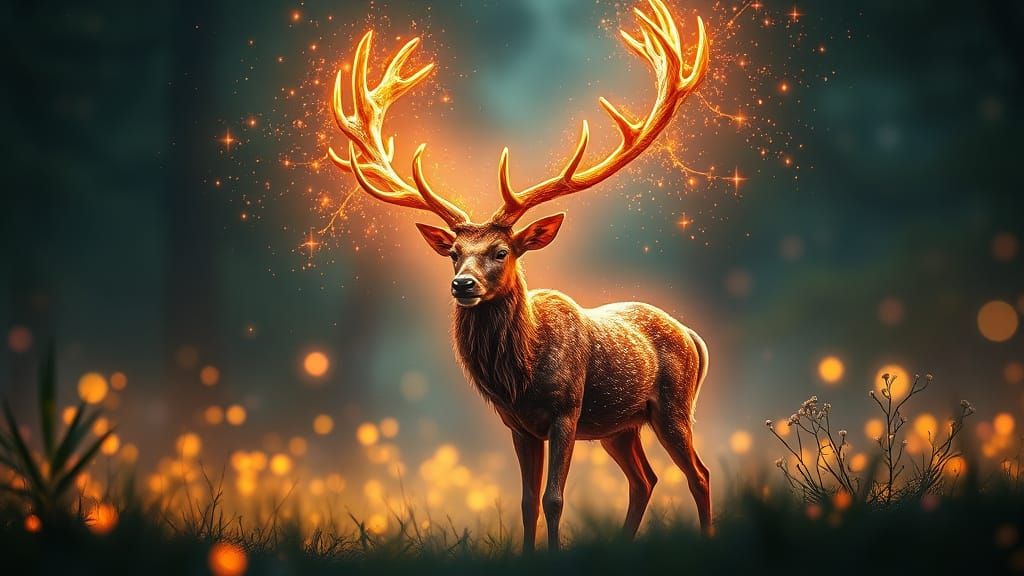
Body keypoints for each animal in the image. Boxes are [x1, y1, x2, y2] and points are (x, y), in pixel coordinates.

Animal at [327, 0, 711, 551]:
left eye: (501, 250)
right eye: (453, 253)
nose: (462, 285)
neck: (521, 376)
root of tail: (693, 336)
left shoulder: (566, 411)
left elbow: (554, 499)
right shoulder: (518, 425)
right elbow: (528, 501)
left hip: (673, 406)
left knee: (697, 474)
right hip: (620, 426)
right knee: (645, 479)